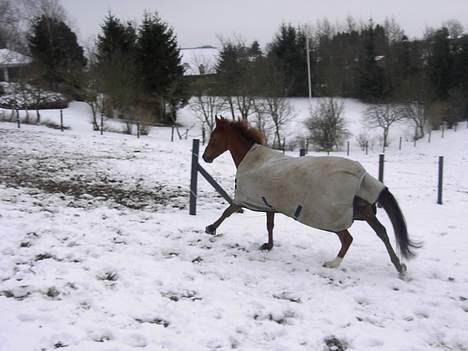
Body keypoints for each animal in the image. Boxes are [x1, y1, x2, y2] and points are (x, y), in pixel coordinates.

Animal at [202, 115, 420, 276]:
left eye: (213, 137)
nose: (205, 157)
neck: (253, 159)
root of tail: (362, 176)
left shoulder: (245, 198)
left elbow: (228, 211)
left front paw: (210, 228)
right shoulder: (268, 203)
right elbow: (270, 225)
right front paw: (268, 245)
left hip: (336, 219)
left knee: (348, 239)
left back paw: (333, 263)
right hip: (364, 212)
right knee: (382, 232)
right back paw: (399, 267)